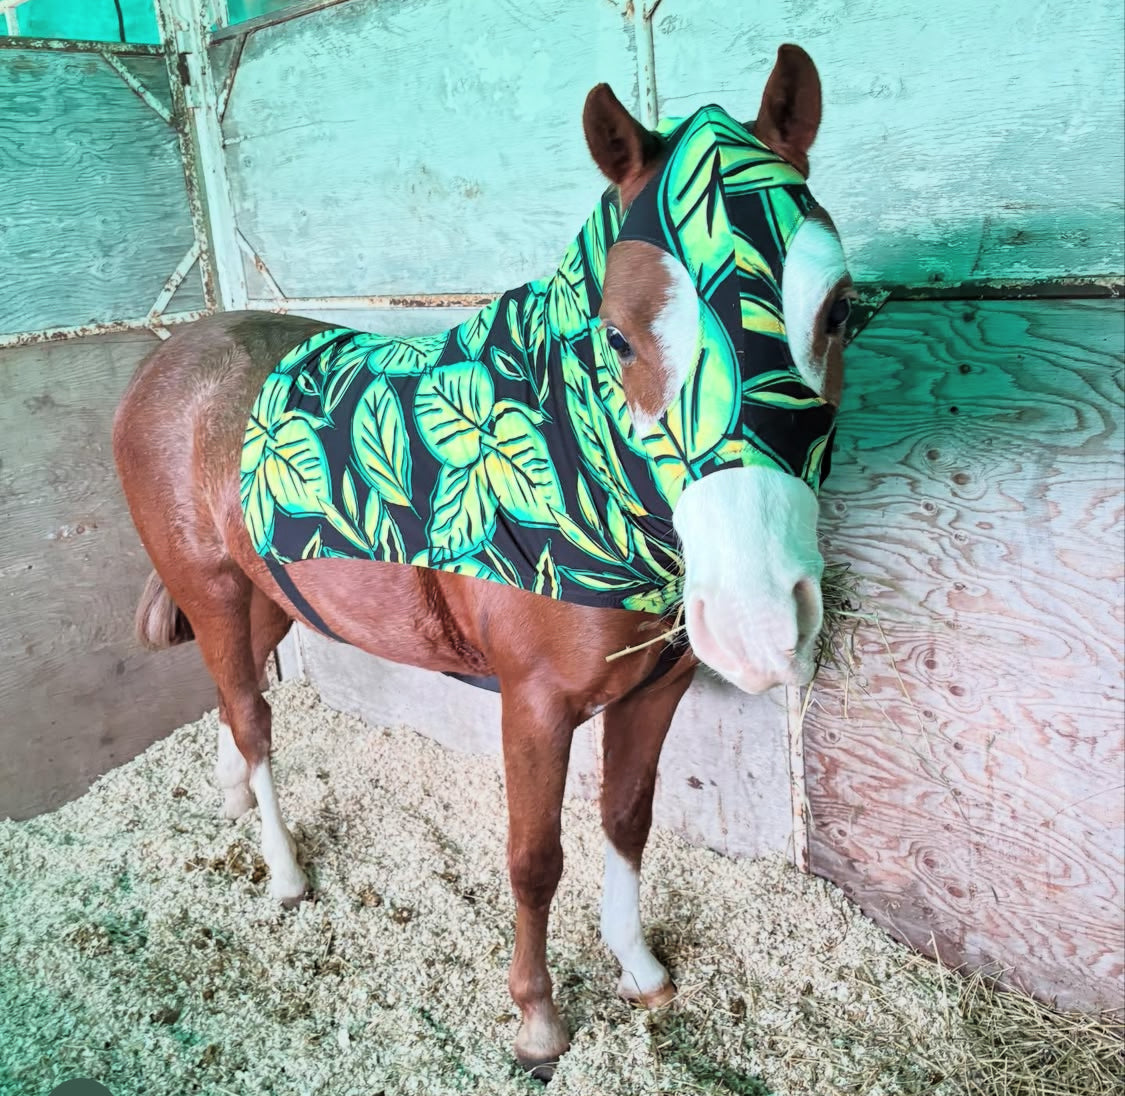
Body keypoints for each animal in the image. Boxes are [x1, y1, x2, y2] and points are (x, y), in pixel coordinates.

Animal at [112, 44, 852, 1078]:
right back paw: (286, 873)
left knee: (234, 697)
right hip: (211, 590)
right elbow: (534, 860)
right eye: (618, 337)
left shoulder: (655, 691)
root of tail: (168, 362)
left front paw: (638, 966)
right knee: (254, 721)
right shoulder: (533, 706)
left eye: (843, 312)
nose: (758, 621)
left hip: (269, 595)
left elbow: (626, 821)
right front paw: (537, 1021)